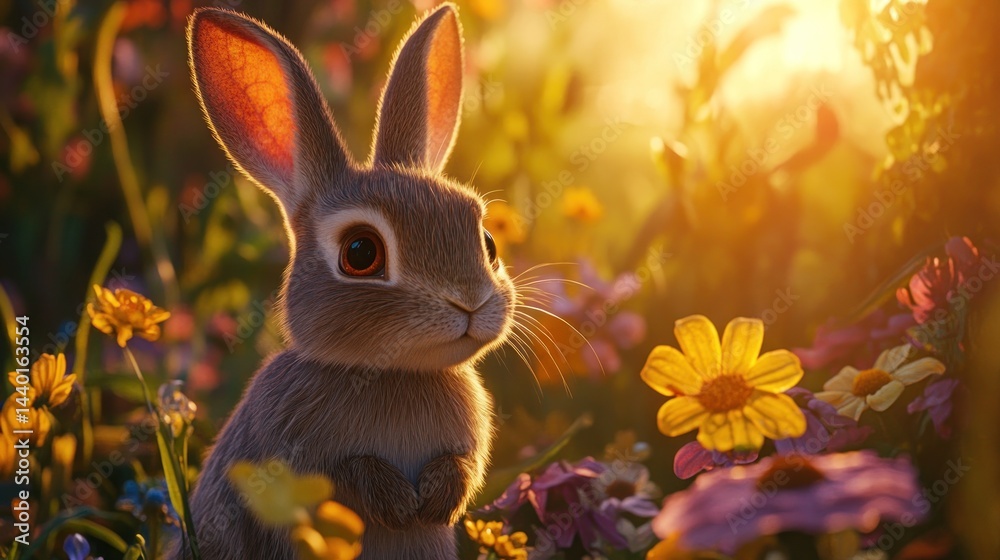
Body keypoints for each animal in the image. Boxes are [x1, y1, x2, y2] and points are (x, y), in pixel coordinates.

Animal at [176, 4, 513, 559]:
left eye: (488, 243)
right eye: (361, 253)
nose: (470, 302)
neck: (393, 373)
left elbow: (464, 465)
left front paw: (438, 498)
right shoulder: (292, 456)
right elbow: (344, 476)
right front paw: (398, 502)